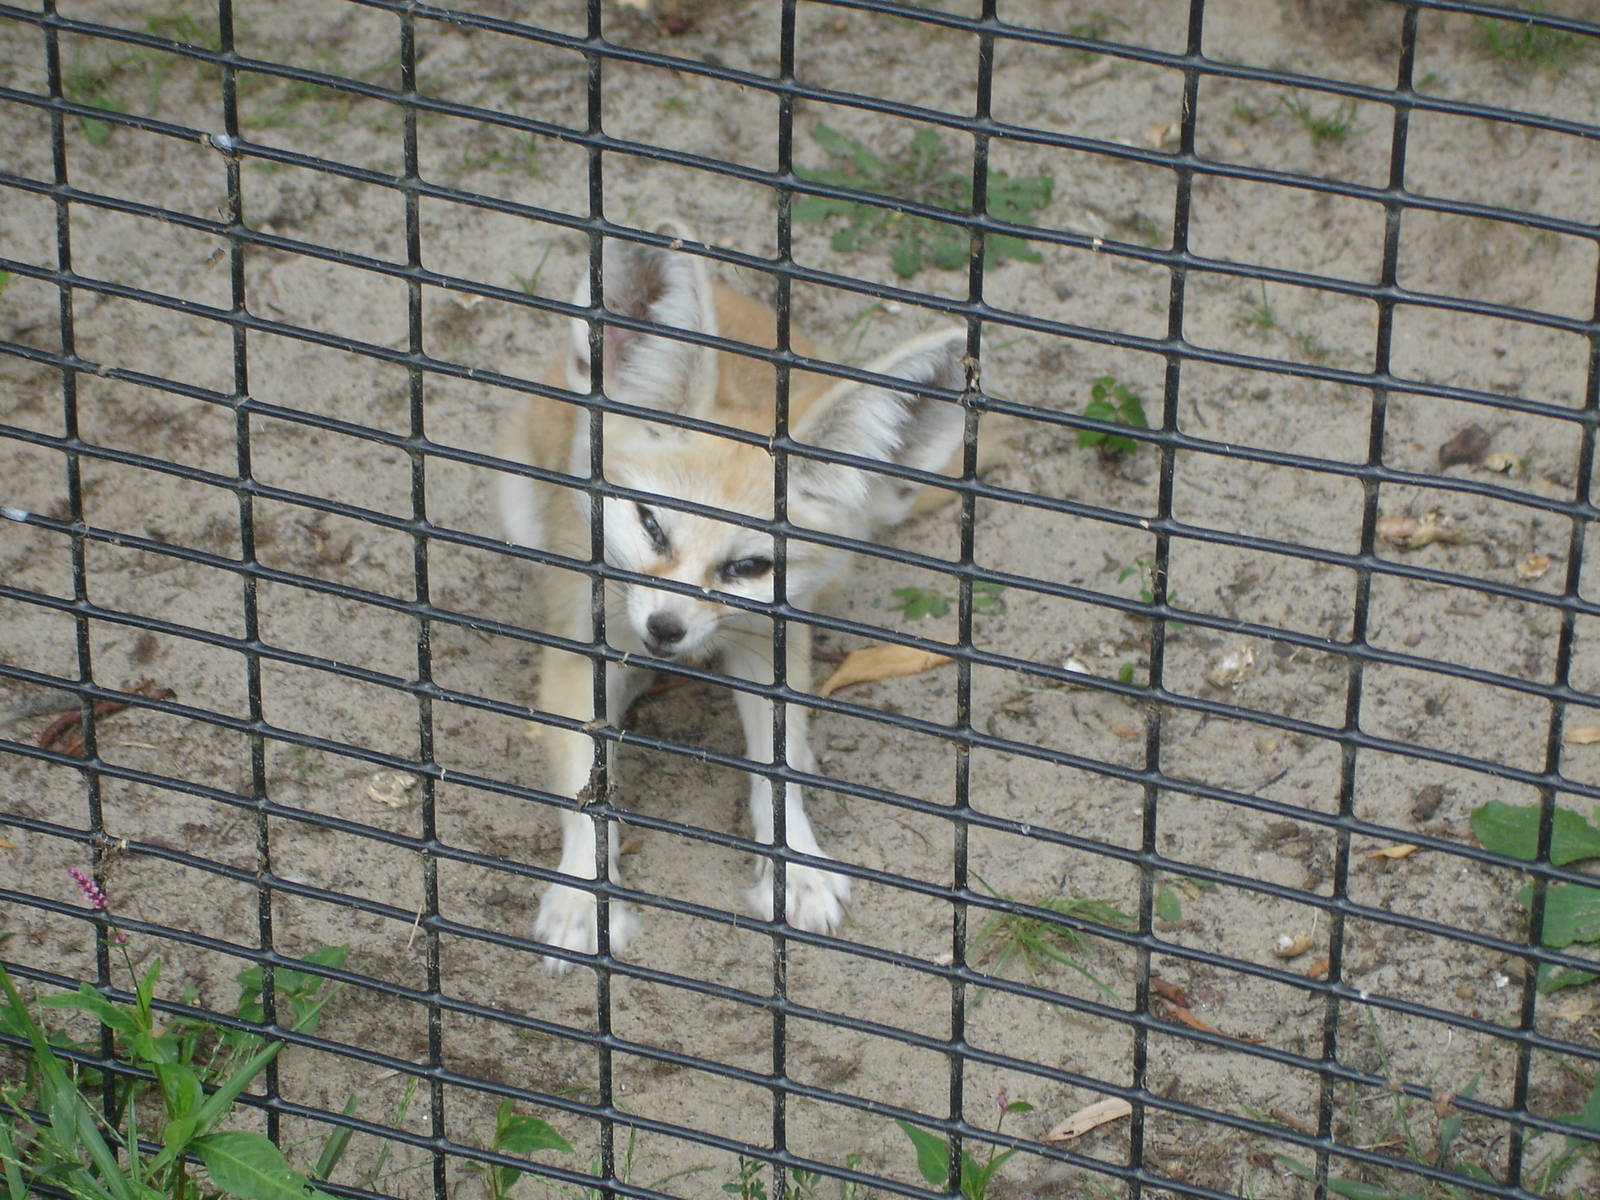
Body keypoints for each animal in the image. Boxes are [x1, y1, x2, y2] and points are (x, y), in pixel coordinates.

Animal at [497, 223, 970, 972]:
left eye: (749, 565)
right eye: (651, 525)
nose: (666, 629)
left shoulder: (766, 646)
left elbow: (778, 769)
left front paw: (796, 864)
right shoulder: (579, 647)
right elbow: (585, 784)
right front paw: (582, 895)